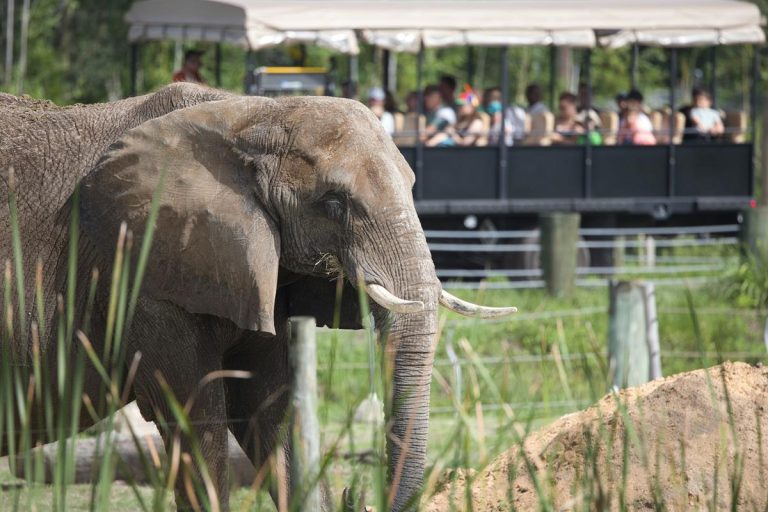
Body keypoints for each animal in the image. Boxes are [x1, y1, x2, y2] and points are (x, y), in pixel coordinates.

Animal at [0, 83, 515, 511]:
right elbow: (197, 428)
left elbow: (272, 418)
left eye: (411, 186)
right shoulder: (144, 269)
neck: (251, 116)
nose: (358, 494)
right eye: (333, 203)